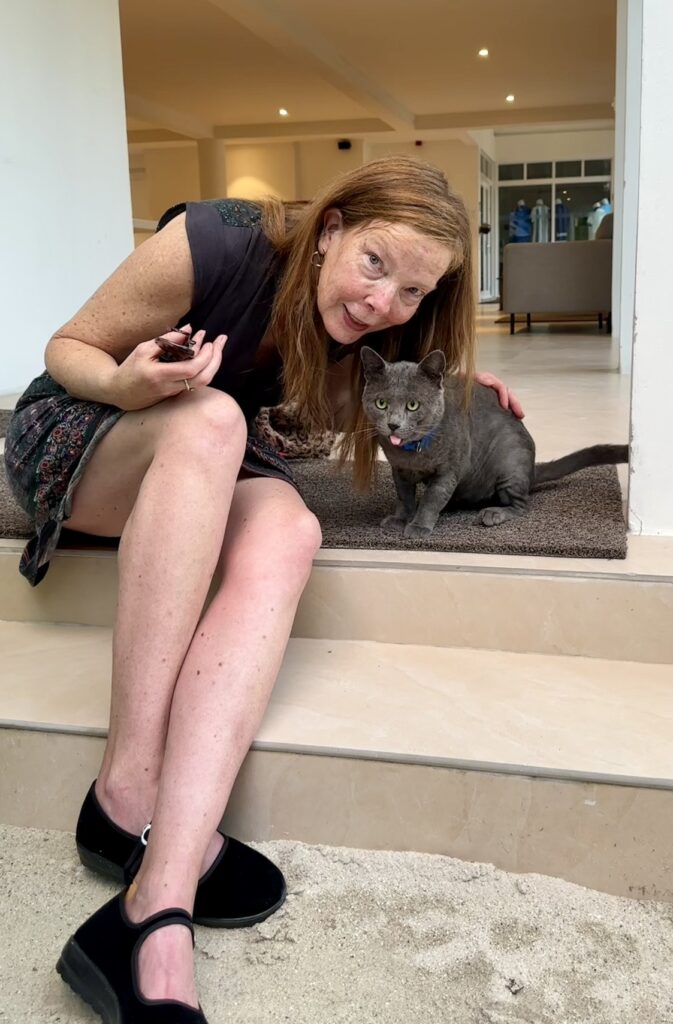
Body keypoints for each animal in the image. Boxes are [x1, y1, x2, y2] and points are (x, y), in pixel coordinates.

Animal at [360, 348, 626, 540]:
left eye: (413, 405)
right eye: (381, 403)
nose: (393, 425)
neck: (413, 454)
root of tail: (531, 469)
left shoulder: (449, 471)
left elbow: (432, 499)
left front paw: (419, 526)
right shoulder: (399, 471)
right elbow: (404, 497)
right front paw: (400, 519)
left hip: (510, 463)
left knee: (521, 505)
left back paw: (493, 513)